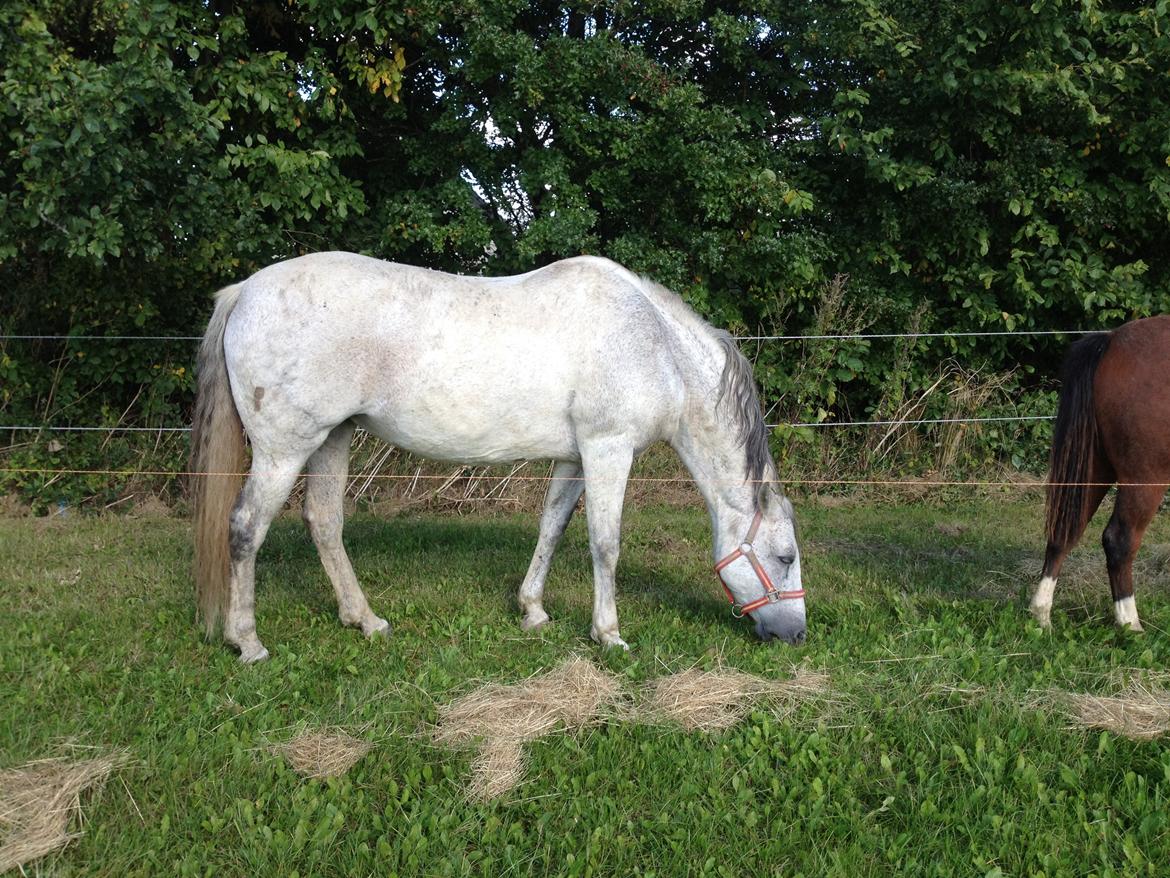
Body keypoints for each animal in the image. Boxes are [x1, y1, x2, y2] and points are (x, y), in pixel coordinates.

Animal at [189, 250, 804, 664]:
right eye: (785, 558)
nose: (796, 635)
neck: (655, 344)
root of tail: (245, 291)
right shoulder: (608, 448)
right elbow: (605, 543)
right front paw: (608, 633)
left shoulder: (575, 456)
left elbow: (553, 526)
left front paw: (532, 610)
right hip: (284, 448)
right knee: (245, 527)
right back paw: (247, 641)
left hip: (332, 438)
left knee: (323, 521)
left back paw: (365, 620)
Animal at [1034, 316, 1170, 632]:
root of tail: (1110, 342)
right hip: (1145, 478)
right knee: (1119, 540)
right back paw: (1130, 624)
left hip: (1094, 467)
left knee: (1063, 532)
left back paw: (1041, 615)